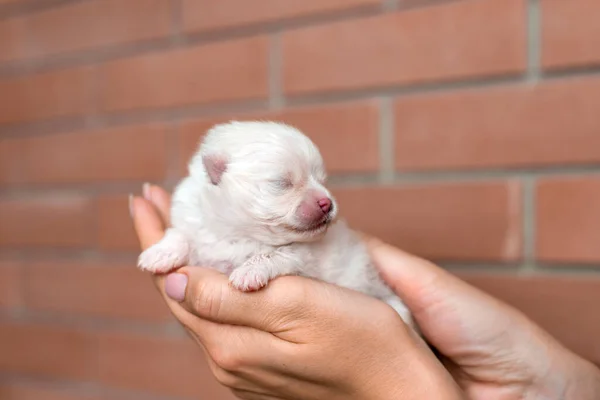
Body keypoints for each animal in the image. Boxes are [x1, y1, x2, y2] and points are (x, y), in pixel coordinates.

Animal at [138, 120, 414, 330]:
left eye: (322, 179)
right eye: (282, 183)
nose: (327, 203)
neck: (239, 233)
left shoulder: (303, 254)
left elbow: (275, 254)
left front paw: (249, 271)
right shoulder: (194, 219)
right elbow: (181, 234)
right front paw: (158, 253)